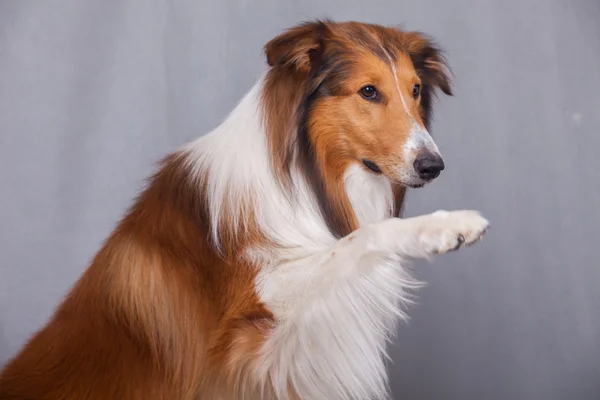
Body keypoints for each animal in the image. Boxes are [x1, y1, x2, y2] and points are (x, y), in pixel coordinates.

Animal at [0, 19, 488, 400]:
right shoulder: (251, 324)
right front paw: (449, 226)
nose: (433, 166)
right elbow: (357, 239)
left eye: (416, 90)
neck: (309, 181)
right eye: (368, 91)